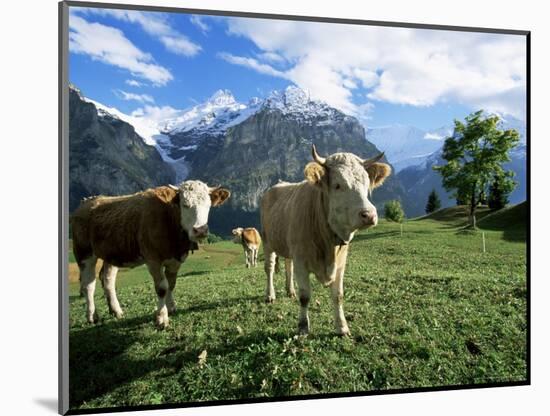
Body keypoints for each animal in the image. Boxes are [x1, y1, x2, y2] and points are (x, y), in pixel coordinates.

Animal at [70, 181, 231, 328]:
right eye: (185, 204)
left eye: (208, 205)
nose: (200, 230)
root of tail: (87, 201)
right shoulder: (153, 259)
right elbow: (162, 288)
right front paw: (162, 318)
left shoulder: (175, 260)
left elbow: (171, 284)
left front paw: (171, 307)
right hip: (84, 252)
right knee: (88, 284)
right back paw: (92, 316)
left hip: (112, 253)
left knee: (107, 279)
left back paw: (116, 311)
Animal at [260, 145, 392, 336]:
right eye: (337, 185)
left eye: (367, 183)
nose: (369, 214)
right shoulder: (301, 261)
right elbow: (305, 297)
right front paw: (303, 327)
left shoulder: (341, 263)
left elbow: (338, 296)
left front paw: (342, 327)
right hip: (267, 240)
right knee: (269, 268)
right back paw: (270, 295)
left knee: (287, 265)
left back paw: (290, 291)